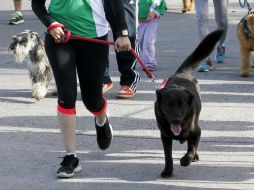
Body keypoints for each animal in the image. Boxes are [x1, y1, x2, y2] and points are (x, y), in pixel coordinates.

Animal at [155, 29, 222, 177]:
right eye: (168, 105)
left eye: (183, 105)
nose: (176, 120)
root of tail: (182, 72)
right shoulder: (165, 137)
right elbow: (168, 156)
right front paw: (167, 170)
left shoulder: (196, 132)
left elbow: (191, 149)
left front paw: (186, 160)